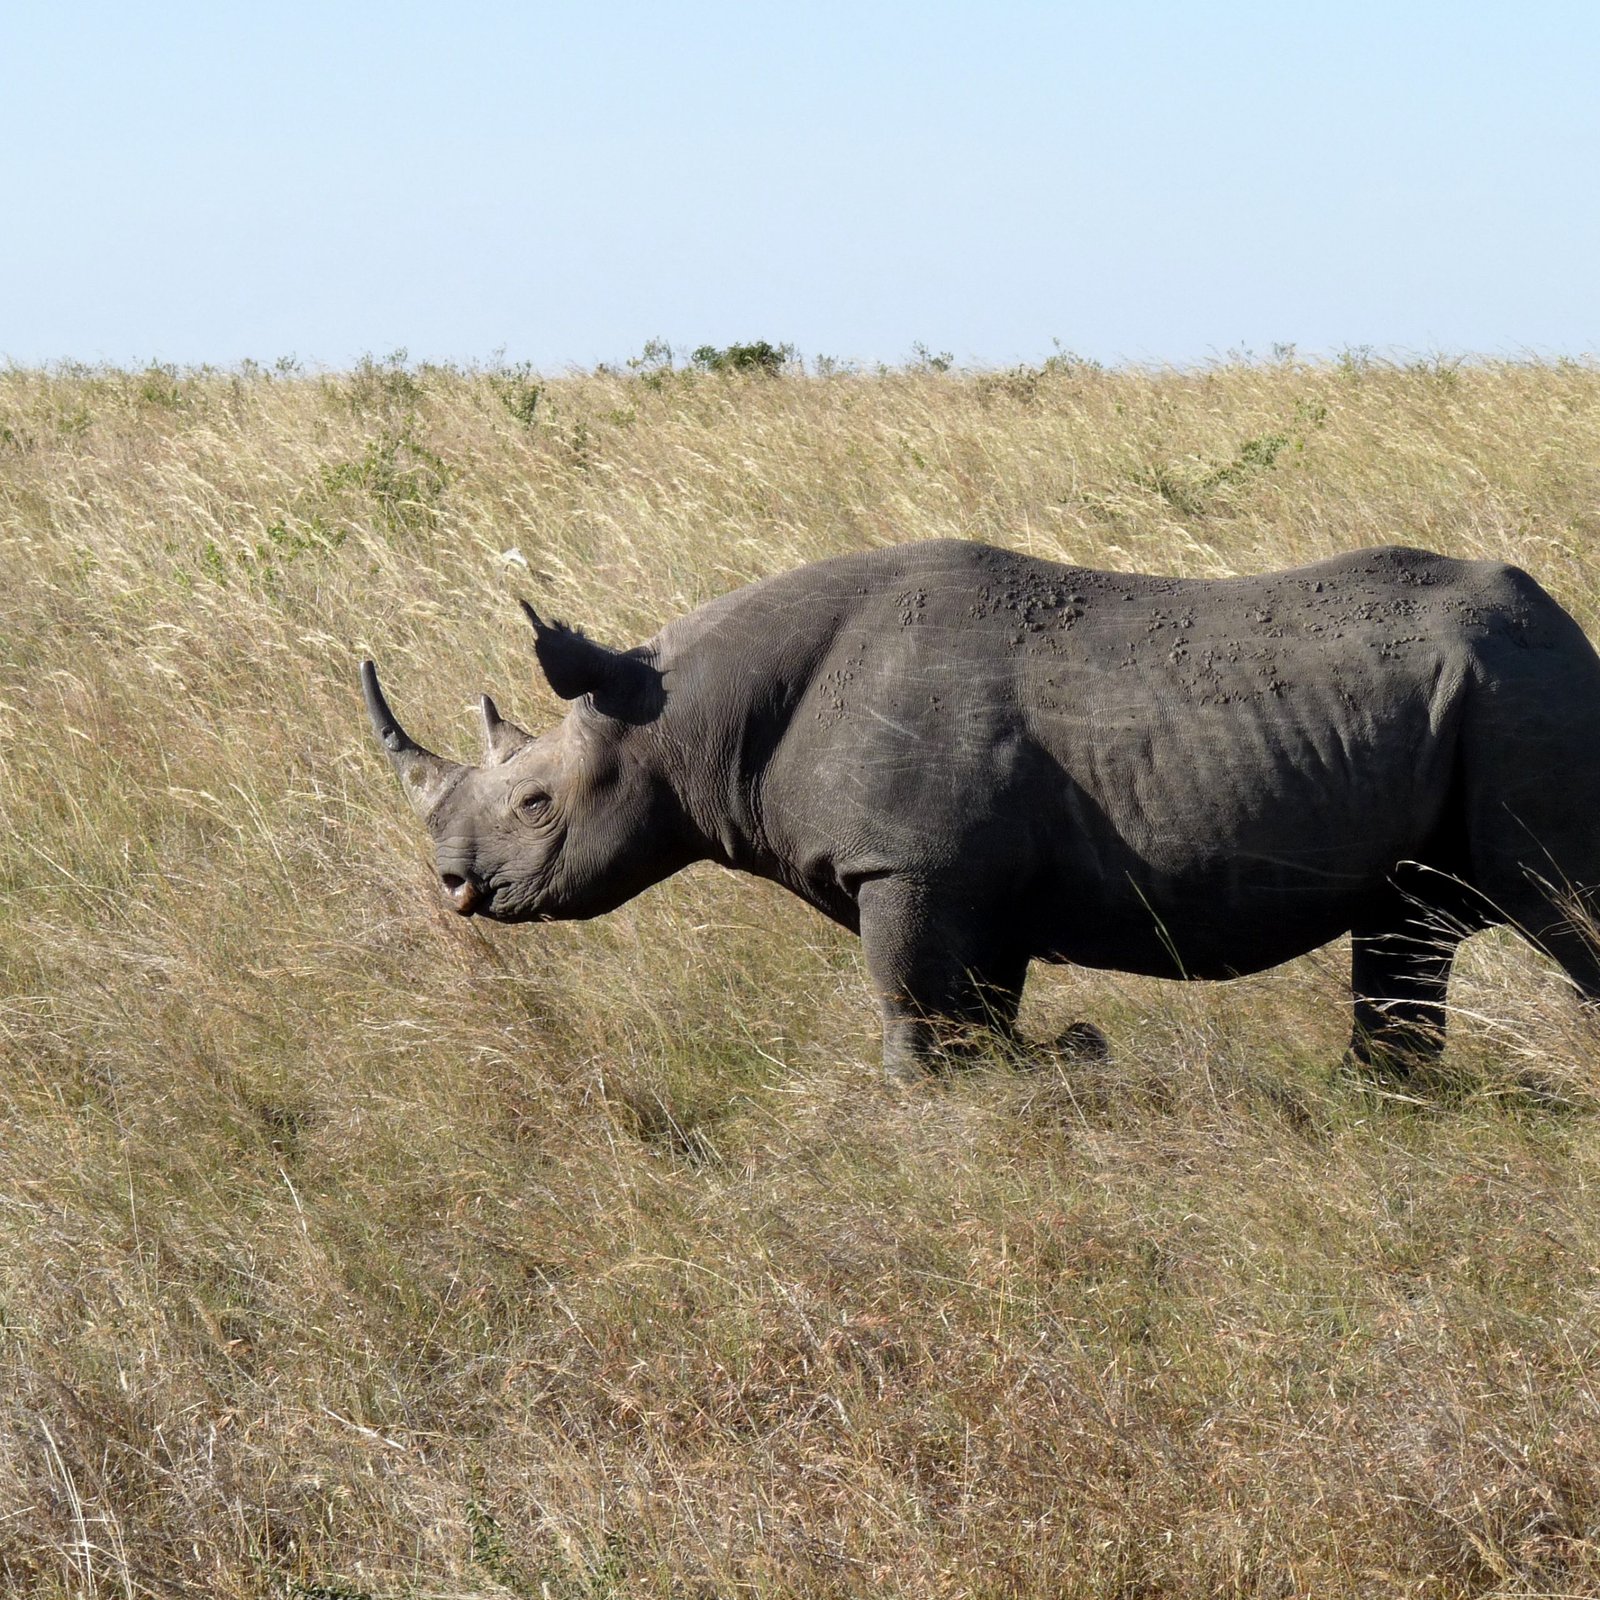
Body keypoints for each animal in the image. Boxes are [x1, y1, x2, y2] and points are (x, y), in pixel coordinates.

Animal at [361, 539, 1600, 1081]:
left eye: (535, 803)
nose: (453, 882)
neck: (688, 716)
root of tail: (1566, 627)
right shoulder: (967, 881)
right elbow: (975, 1016)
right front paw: (1032, 1082)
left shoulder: (909, 865)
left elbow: (913, 1017)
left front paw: (925, 1120)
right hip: (1475, 697)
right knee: (1406, 921)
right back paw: (1380, 1098)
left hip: (1523, 692)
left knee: (1555, 898)